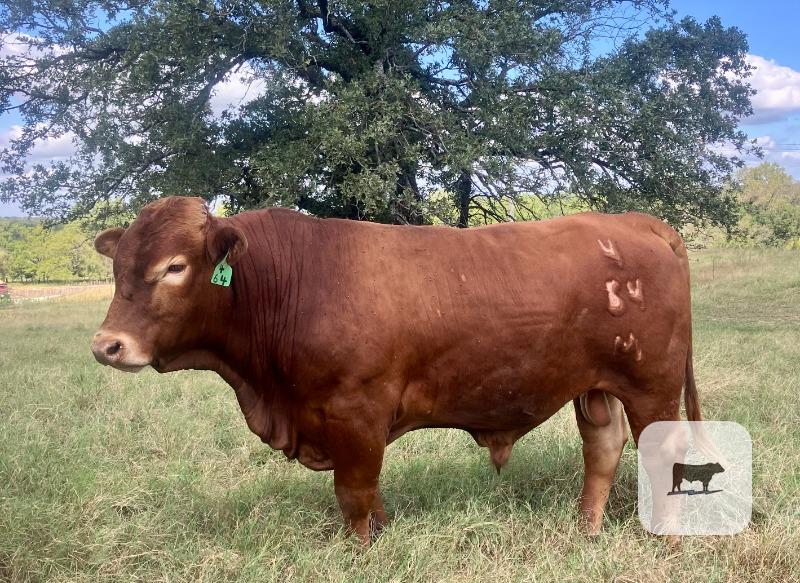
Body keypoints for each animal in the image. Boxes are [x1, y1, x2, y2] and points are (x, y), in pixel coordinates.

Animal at [91, 196, 703, 543]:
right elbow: (368, 493)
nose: (107, 345)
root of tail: (633, 221)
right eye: (118, 267)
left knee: (662, 453)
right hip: (595, 385)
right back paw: (586, 532)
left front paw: (359, 553)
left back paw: (667, 541)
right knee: (602, 447)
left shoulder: (355, 410)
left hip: (652, 384)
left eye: (174, 267)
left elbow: (354, 492)